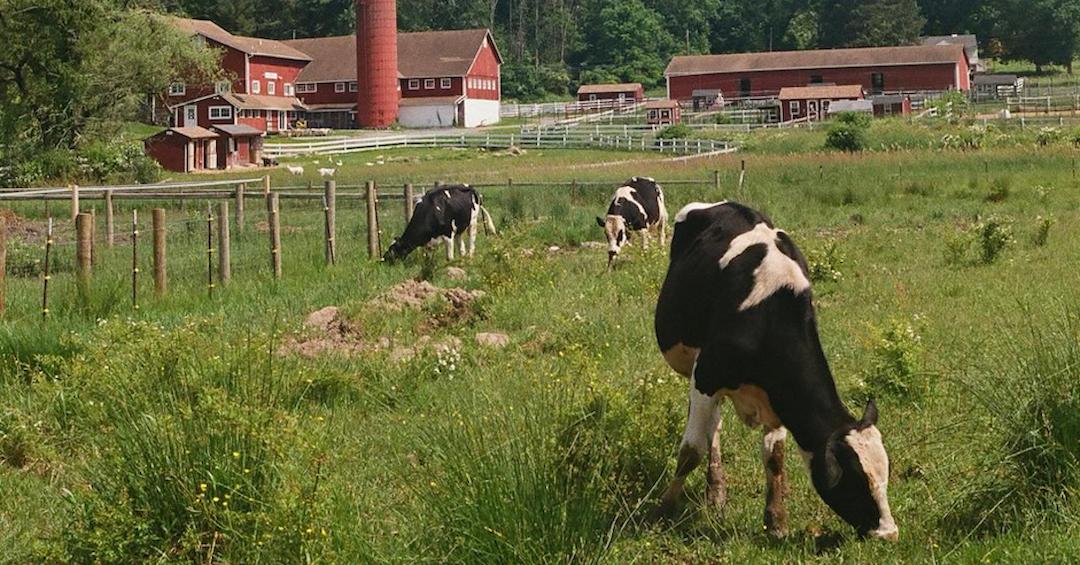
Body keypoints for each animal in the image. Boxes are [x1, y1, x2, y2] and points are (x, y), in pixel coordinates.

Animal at [652, 200, 898, 542]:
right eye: (856, 483)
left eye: (885, 475)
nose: (889, 533)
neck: (768, 318)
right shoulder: (706, 376)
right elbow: (691, 451)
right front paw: (663, 509)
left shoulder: (778, 396)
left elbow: (775, 456)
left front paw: (776, 521)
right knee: (711, 429)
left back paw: (717, 491)